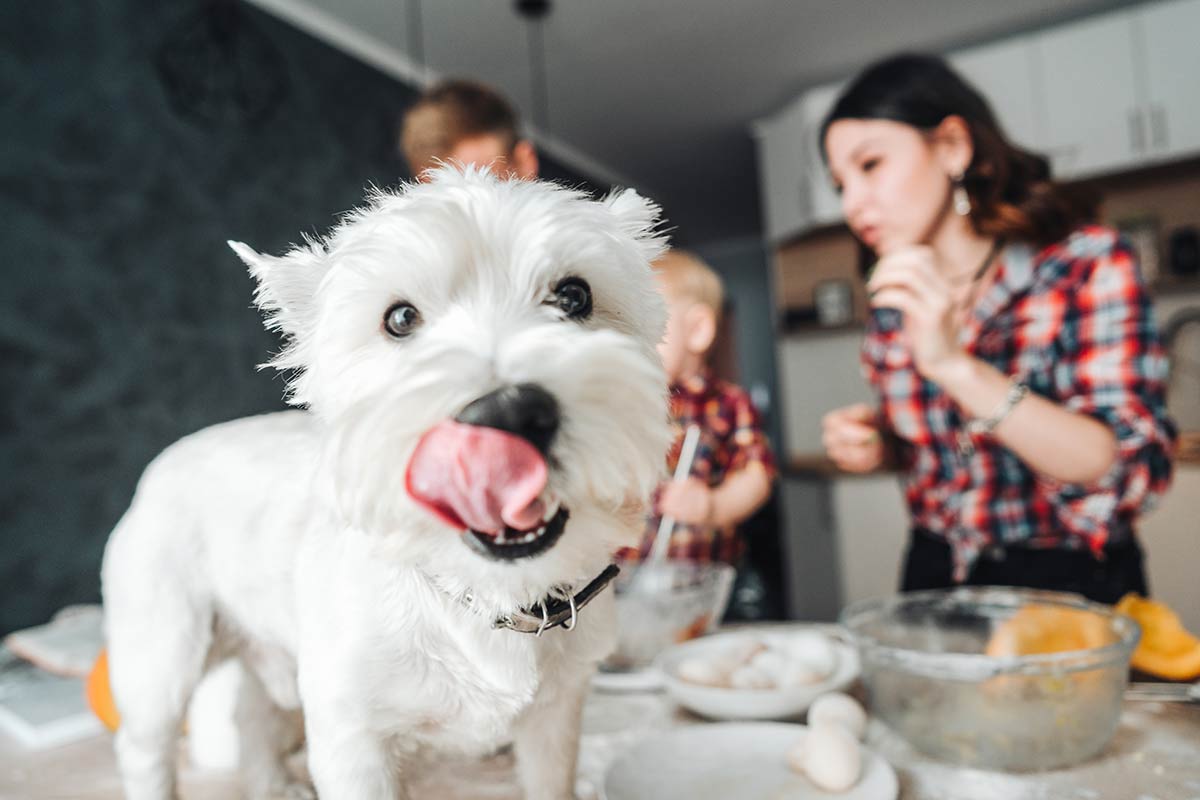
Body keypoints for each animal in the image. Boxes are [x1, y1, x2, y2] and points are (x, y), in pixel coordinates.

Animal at [100, 164, 676, 800]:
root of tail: (161, 463)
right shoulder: (352, 738)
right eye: (399, 319)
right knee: (145, 745)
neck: (483, 594)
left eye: (575, 295)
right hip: (163, 652)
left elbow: (552, 781)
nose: (507, 414)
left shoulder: (556, 718)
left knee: (253, 714)